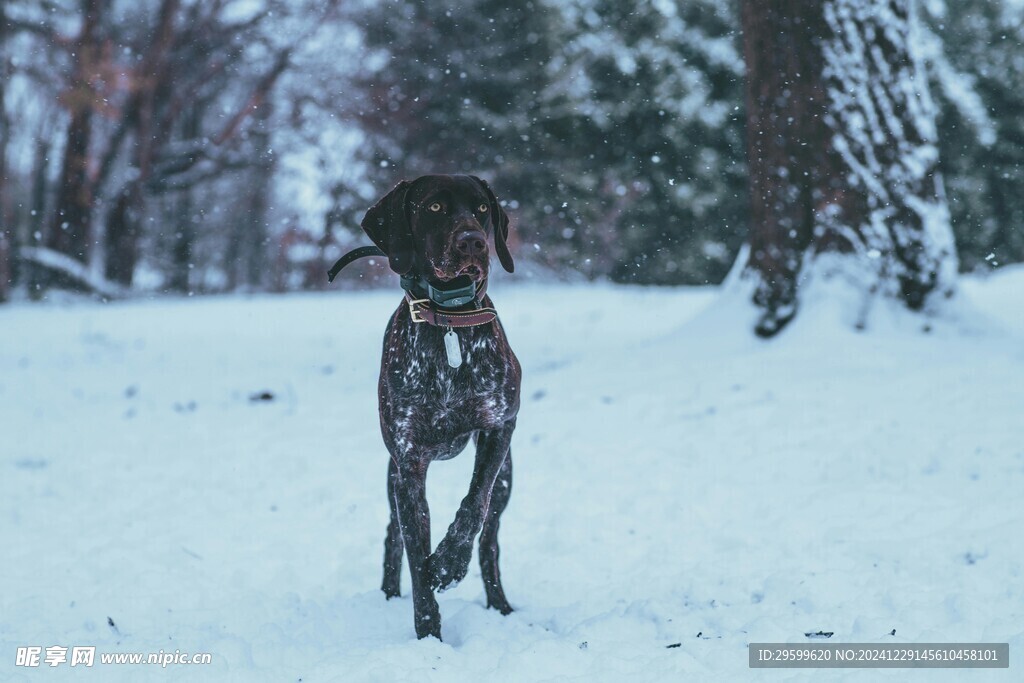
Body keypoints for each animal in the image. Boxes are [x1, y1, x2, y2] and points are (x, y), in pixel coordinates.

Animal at [358, 172, 520, 643]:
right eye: (433, 207)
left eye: (482, 208)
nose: (473, 243)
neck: (450, 320)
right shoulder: (409, 464)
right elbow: (415, 555)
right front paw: (429, 635)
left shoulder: (501, 425)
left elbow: (473, 505)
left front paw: (448, 564)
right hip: (394, 476)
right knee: (393, 535)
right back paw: (389, 595)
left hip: (507, 479)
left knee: (489, 539)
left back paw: (500, 606)